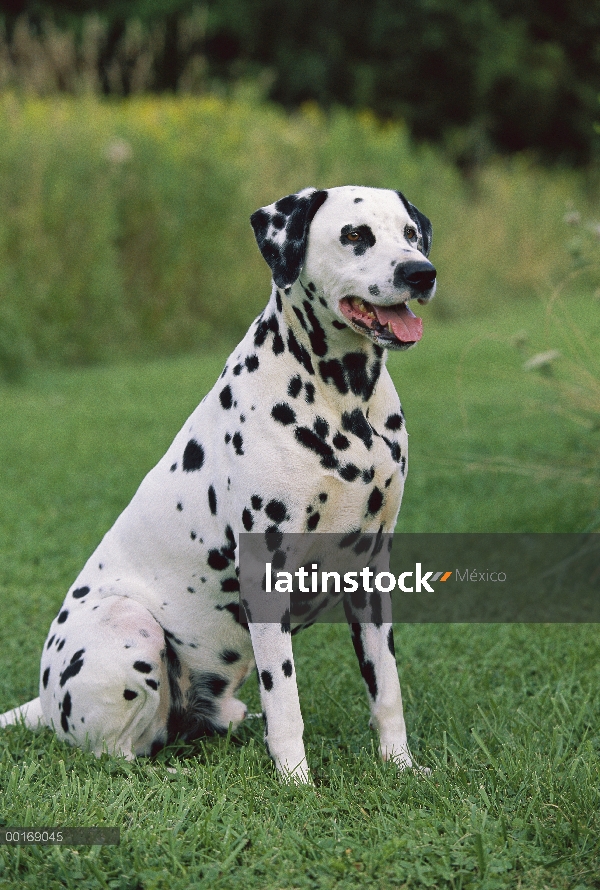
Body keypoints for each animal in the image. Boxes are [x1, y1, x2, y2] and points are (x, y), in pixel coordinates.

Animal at [2, 186, 438, 776]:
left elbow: (386, 689)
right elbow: (285, 701)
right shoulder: (264, 577)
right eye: (355, 235)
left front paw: (400, 766)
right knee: (116, 756)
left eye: (410, 234)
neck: (344, 403)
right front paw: (295, 780)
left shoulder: (371, 574)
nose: (421, 272)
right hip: (131, 626)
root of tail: (43, 704)